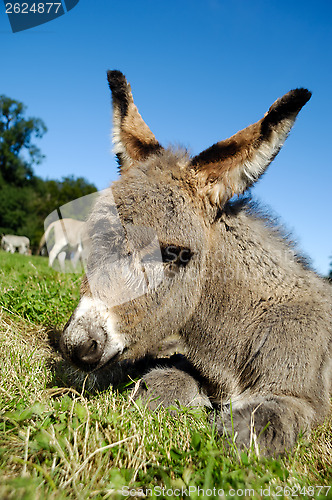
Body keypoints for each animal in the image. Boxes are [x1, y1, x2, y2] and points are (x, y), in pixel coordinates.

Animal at [60, 71, 332, 458]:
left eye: (175, 254)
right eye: (94, 242)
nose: (76, 346)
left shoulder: (298, 398)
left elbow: (245, 432)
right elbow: (156, 389)